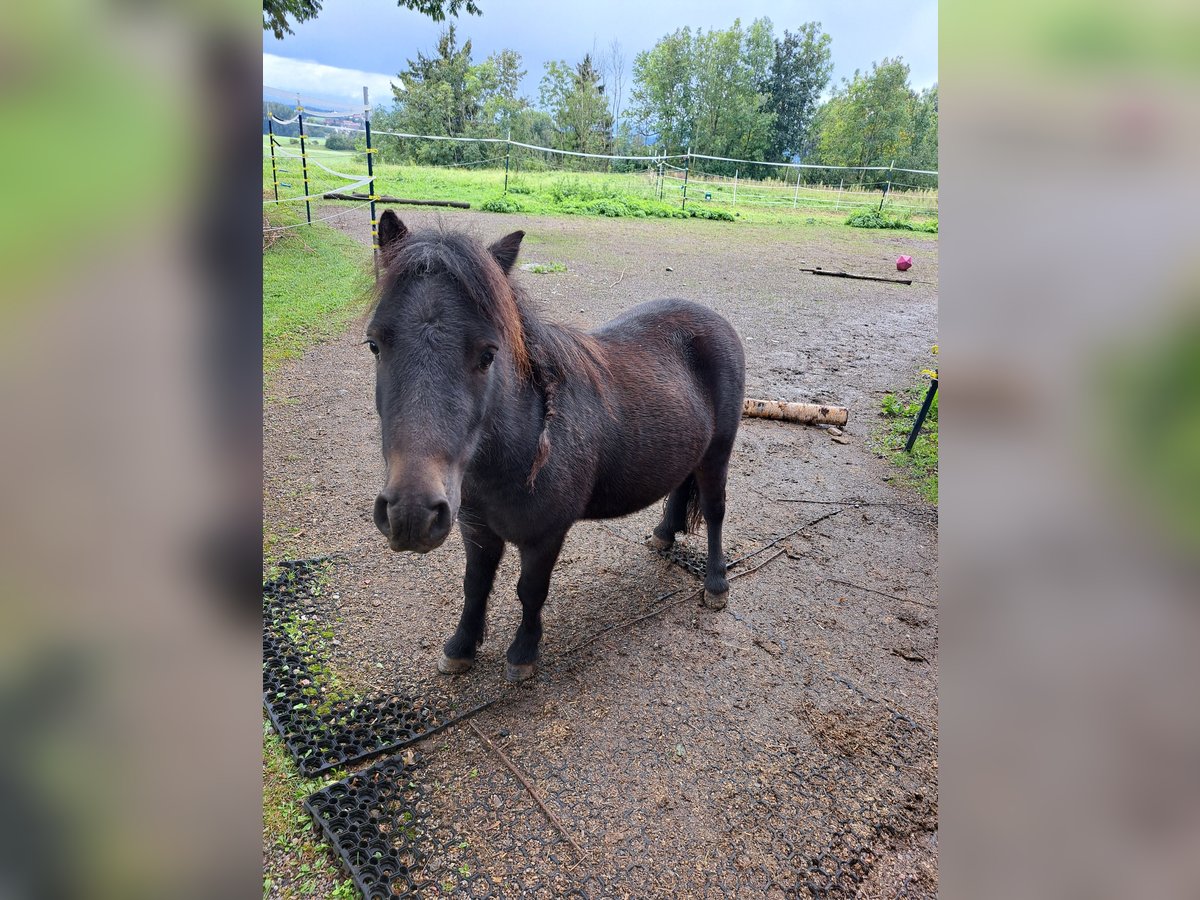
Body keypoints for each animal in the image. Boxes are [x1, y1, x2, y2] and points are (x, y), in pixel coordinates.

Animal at [364, 213, 744, 681]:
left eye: (488, 354)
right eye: (375, 344)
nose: (411, 513)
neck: (523, 446)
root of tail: (715, 320)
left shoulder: (545, 536)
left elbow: (530, 591)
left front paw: (523, 654)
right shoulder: (476, 528)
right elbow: (475, 586)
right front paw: (460, 648)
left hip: (717, 455)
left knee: (714, 512)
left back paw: (716, 584)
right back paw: (663, 536)